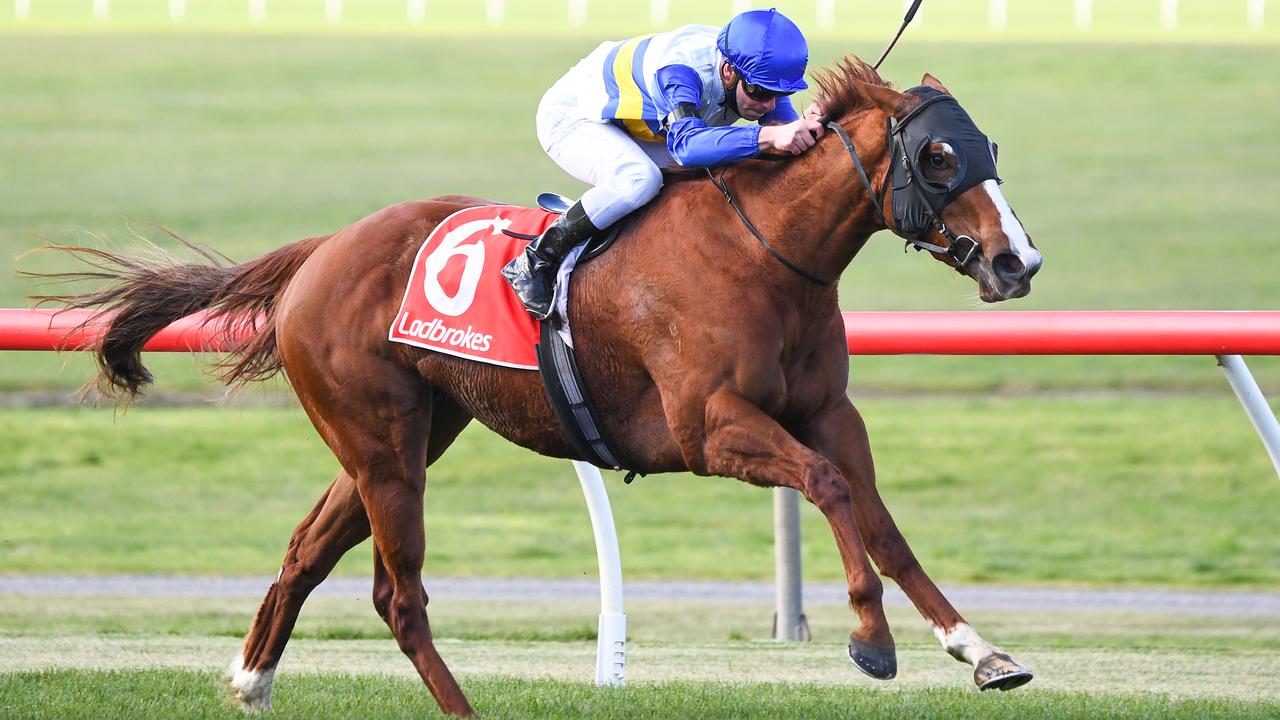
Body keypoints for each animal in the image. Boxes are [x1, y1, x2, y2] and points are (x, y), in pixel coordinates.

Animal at [45, 60, 1044, 712]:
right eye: (938, 158)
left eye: (987, 144)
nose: (1017, 262)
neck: (764, 253)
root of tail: (320, 251)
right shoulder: (708, 427)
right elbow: (830, 490)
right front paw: (871, 642)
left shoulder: (828, 413)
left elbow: (881, 522)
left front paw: (980, 649)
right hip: (382, 442)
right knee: (398, 598)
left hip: (404, 435)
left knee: (307, 550)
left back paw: (250, 678)